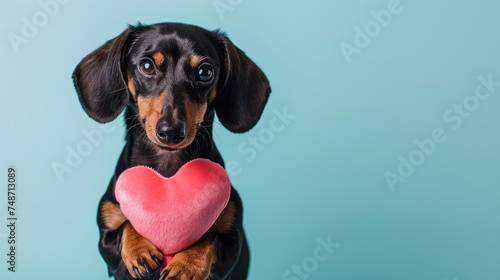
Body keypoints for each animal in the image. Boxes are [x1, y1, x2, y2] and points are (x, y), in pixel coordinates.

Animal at [71, 22, 270, 280]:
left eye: (205, 72)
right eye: (147, 66)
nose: (171, 131)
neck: (167, 170)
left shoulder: (232, 243)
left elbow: (209, 236)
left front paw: (187, 264)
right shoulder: (106, 238)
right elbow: (126, 225)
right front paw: (140, 248)